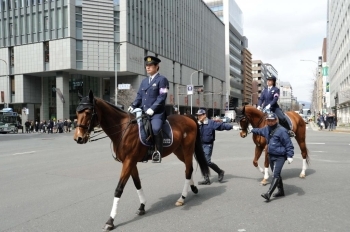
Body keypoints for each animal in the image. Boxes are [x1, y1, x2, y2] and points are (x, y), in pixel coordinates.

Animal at [73, 90, 209, 230]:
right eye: (77, 113)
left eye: (88, 112)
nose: (78, 138)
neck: (122, 129)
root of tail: (188, 117)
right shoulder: (130, 162)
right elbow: (137, 183)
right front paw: (142, 206)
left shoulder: (129, 161)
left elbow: (119, 189)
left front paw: (110, 220)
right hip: (178, 151)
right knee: (188, 169)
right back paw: (193, 189)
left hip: (187, 150)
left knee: (188, 170)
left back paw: (182, 198)